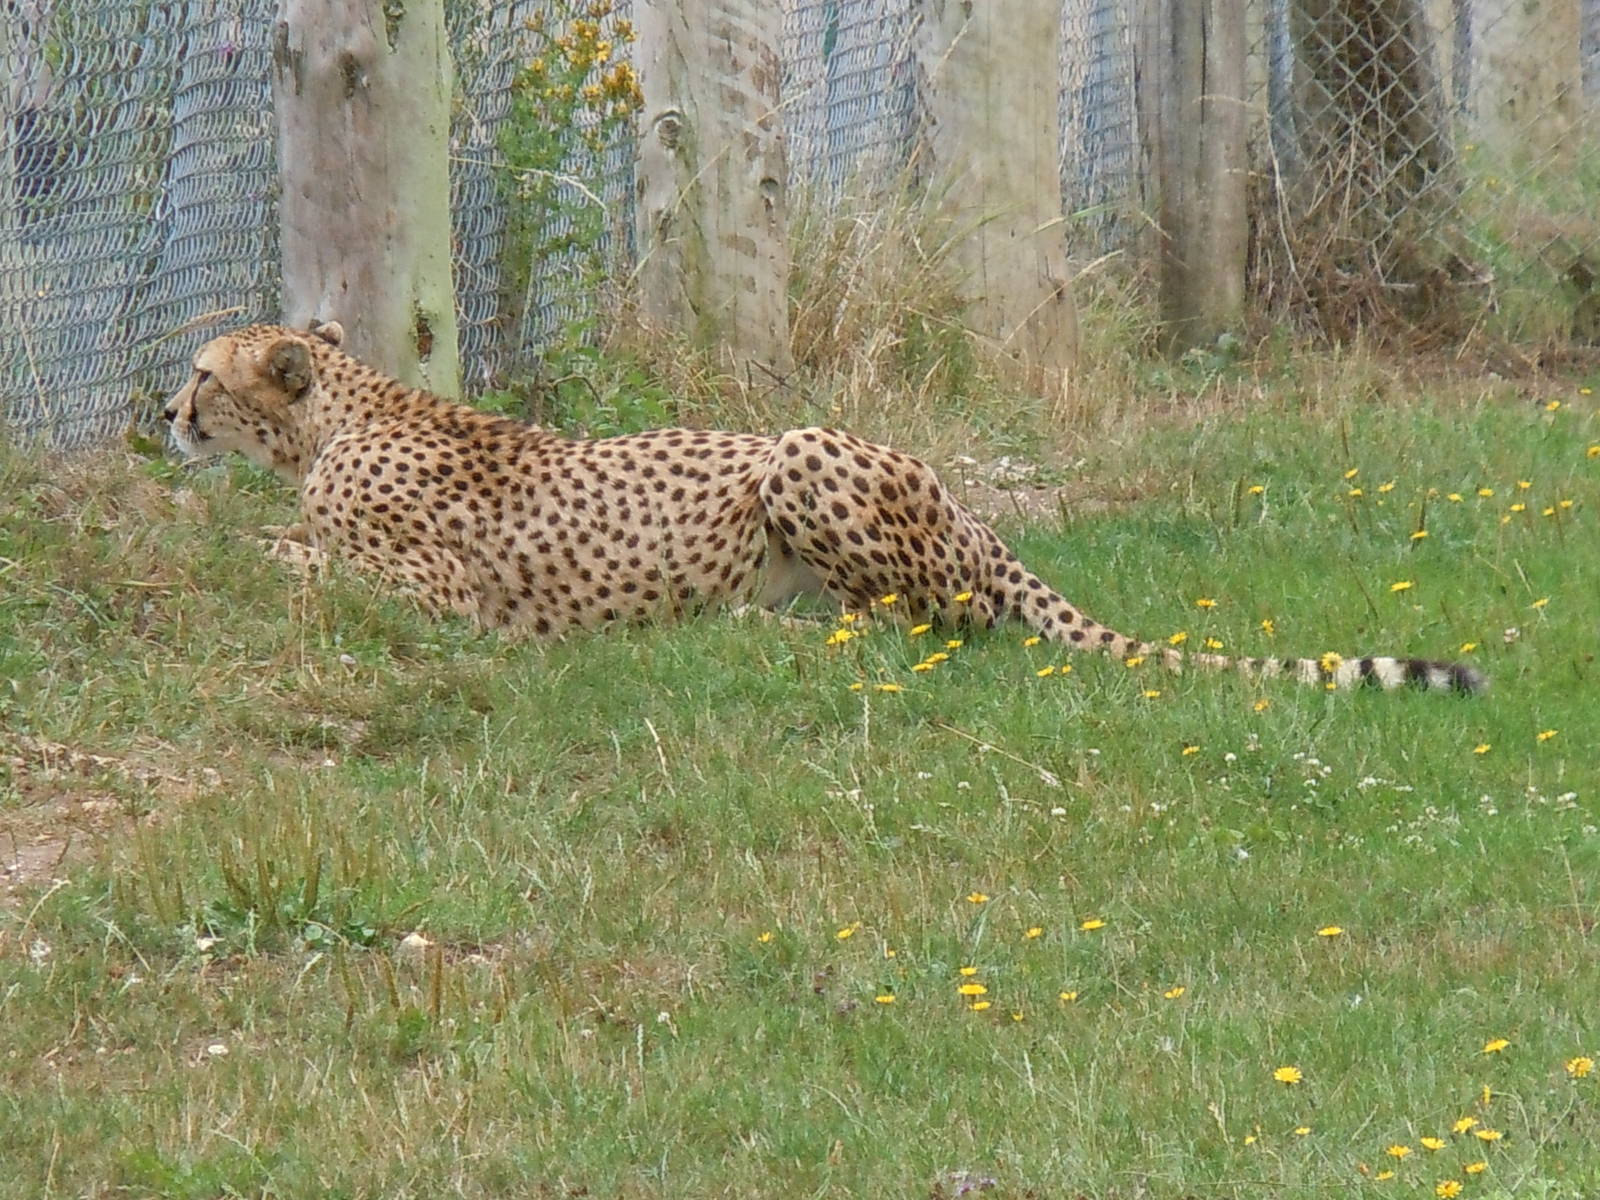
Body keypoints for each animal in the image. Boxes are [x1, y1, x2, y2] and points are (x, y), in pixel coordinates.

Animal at [162, 320, 1484, 694]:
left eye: (204, 372)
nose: (163, 412)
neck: (337, 414)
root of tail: (967, 503)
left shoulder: (446, 597)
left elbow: (301, 557)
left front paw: (244, 551)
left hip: (805, 451)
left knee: (929, 627)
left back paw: (748, 625)